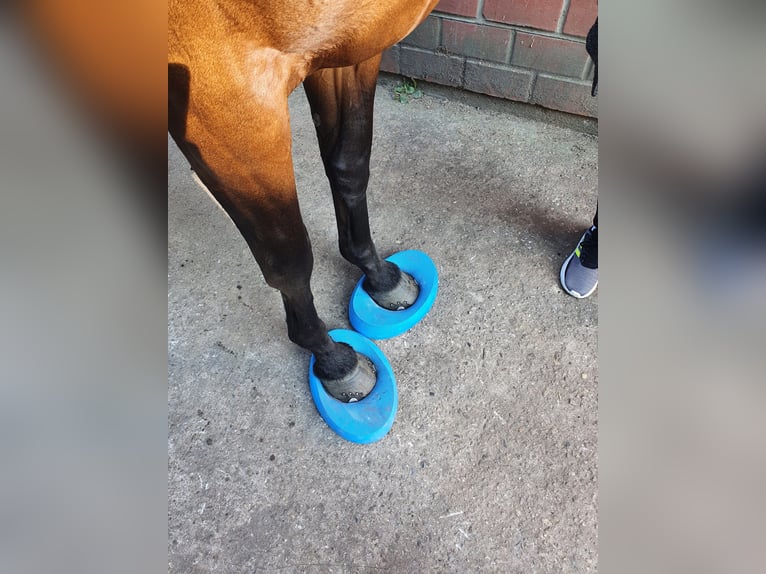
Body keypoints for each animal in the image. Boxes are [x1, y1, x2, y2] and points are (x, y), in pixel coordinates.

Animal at [168, 0, 441, 403]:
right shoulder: (226, 108)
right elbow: (288, 258)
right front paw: (334, 361)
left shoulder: (347, 55)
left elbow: (349, 166)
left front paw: (380, 277)